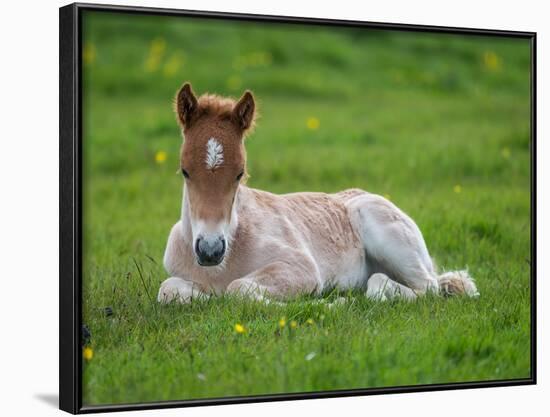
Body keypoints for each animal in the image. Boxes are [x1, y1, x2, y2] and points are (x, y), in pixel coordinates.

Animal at [157, 82, 480, 302]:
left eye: (240, 174)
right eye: (185, 171)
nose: (210, 250)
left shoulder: (302, 268)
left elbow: (238, 288)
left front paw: (328, 304)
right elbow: (168, 290)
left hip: (388, 235)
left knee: (426, 287)